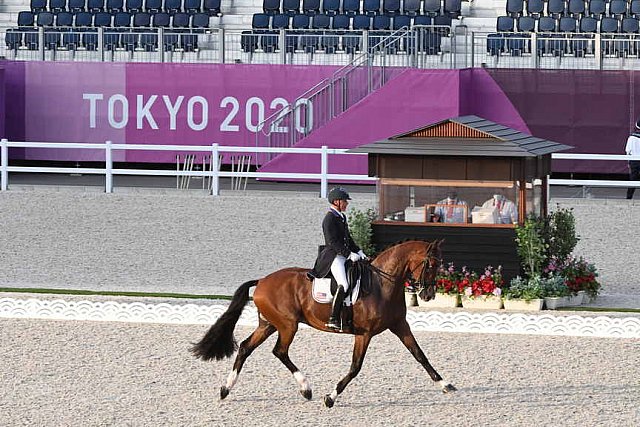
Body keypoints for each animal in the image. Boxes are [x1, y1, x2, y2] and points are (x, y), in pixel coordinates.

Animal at [190, 241, 456, 408]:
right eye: (431, 264)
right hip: (287, 325)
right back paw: (306, 388)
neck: (383, 284)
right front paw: (330, 398)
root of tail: (263, 280)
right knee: (279, 351)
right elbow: (355, 367)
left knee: (245, 348)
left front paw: (446, 385)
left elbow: (420, 355)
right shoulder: (364, 334)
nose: (429, 295)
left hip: (269, 325)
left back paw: (226, 389)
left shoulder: (400, 325)